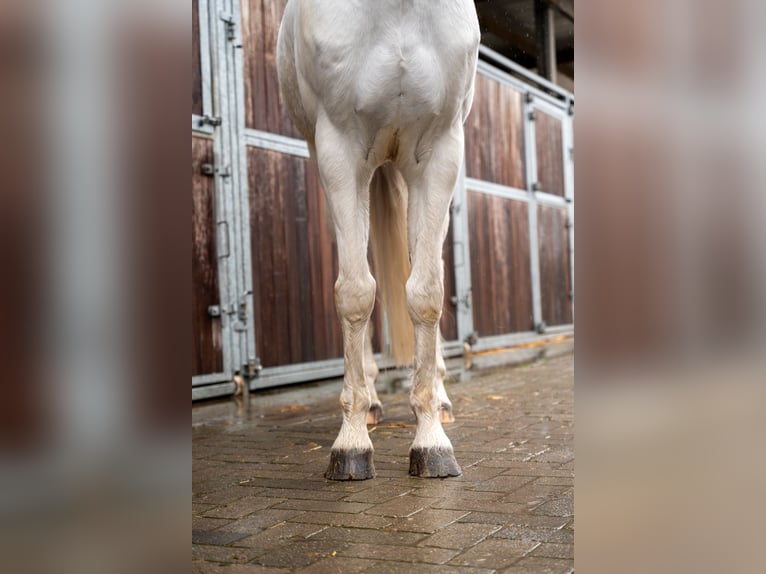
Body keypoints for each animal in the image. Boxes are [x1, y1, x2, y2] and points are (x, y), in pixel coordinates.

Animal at [277, 0, 480, 480]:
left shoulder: (441, 154)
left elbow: (426, 292)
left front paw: (431, 442)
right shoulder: (339, 152)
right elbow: (354, 293)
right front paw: (351, 444)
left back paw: (441, 399)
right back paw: (369, 402)